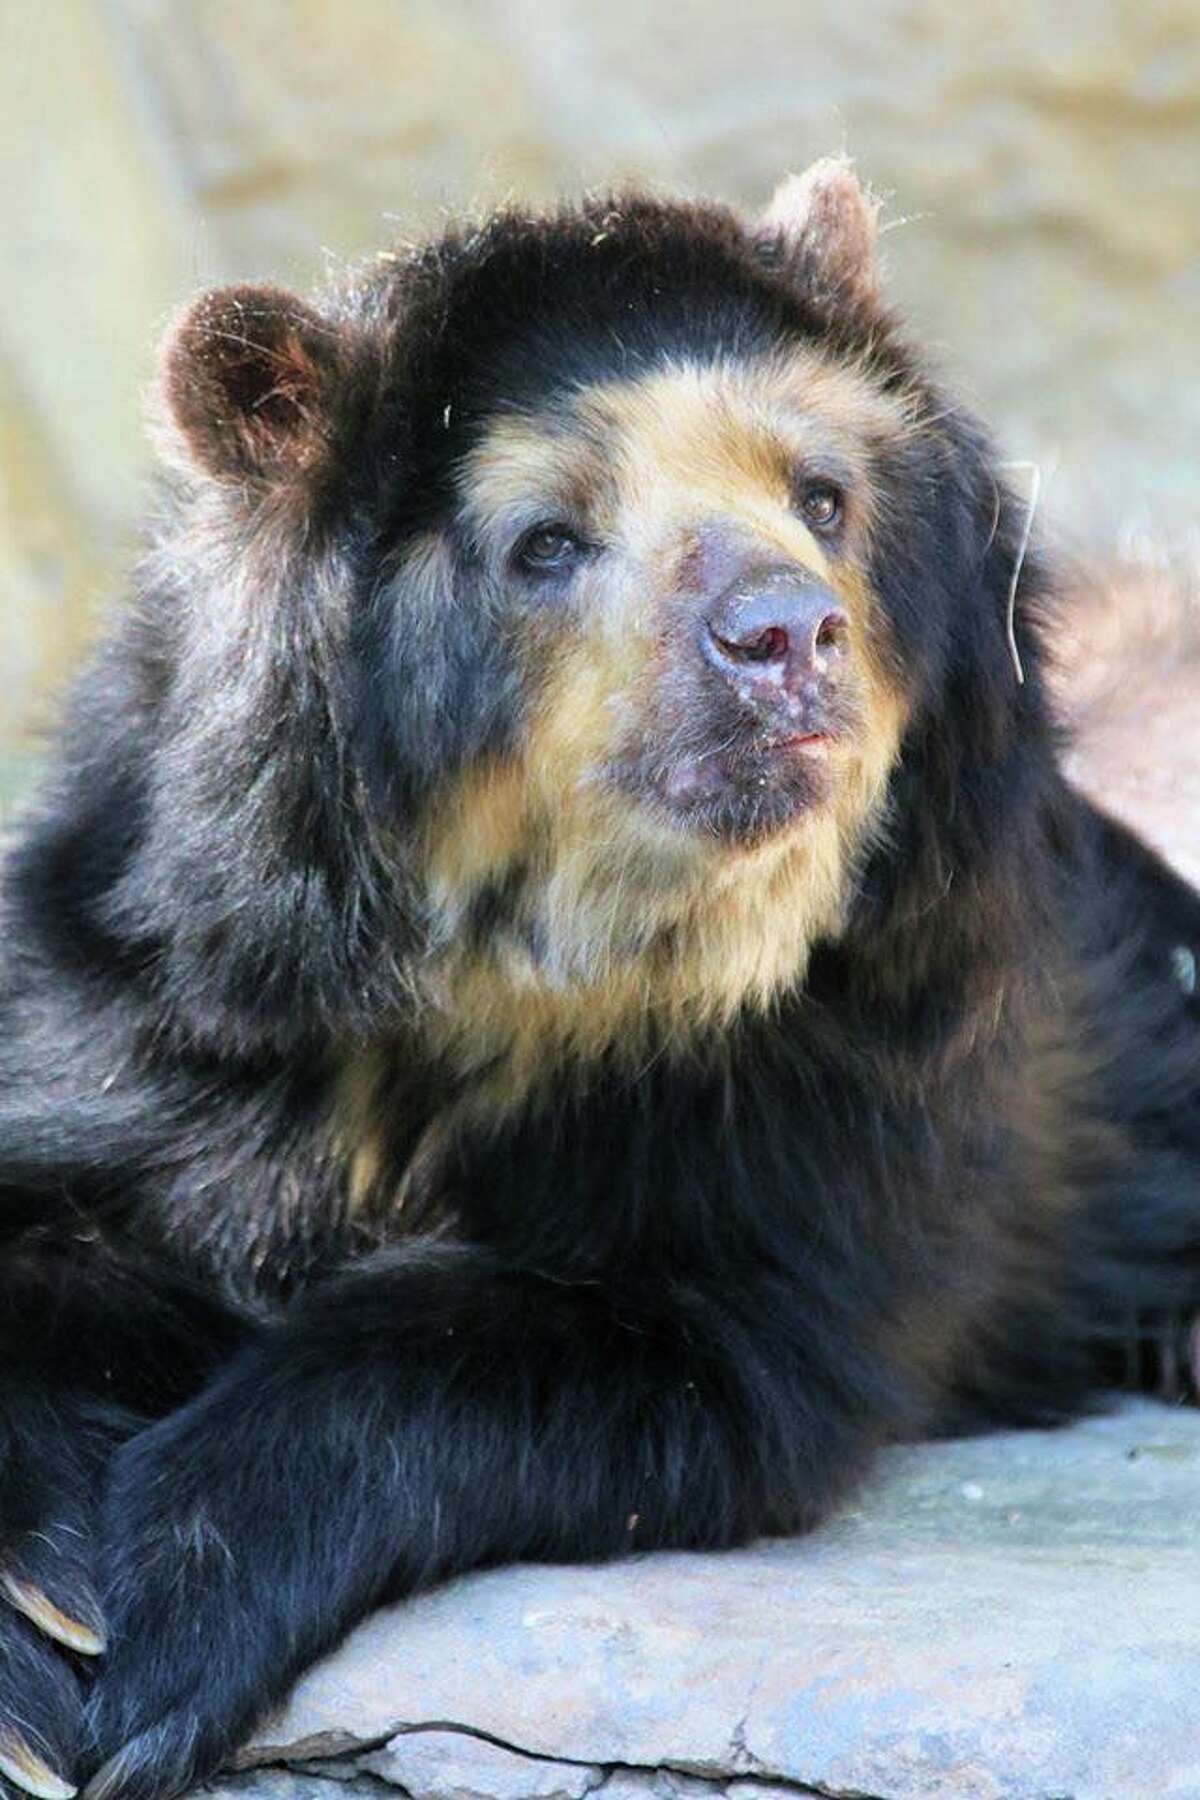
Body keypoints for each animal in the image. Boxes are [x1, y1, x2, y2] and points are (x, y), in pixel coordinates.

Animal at [0, 159, 1197, 1800]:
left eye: (823, 497)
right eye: (546, 543)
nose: (785, 633)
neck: (539, 969)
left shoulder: (856, 1072)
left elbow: (644, 1338)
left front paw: (163, 1617)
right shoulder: (148, 1007)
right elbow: (63, 1209)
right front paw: (44, 1621)